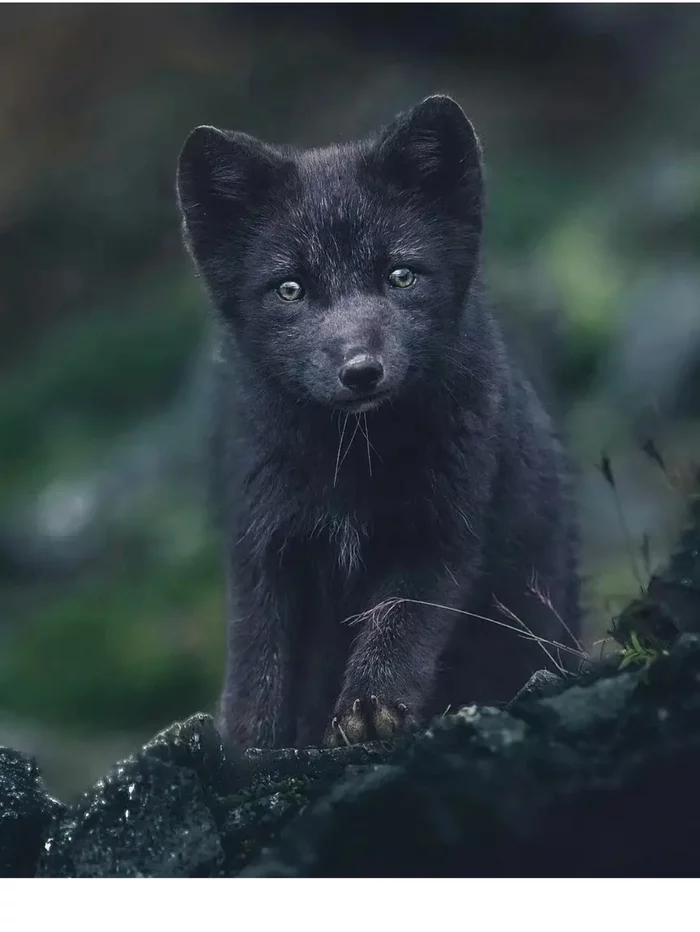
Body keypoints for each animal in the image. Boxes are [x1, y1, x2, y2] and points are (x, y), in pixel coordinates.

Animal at [176, 94, 581, 751]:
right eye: (290, 289)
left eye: (401, 276)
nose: (360, 371)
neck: (351, 464)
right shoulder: (261, 541)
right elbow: (258, 655)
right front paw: (253, 743)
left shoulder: (440, 532)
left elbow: (400, 624)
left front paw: (371, 712)